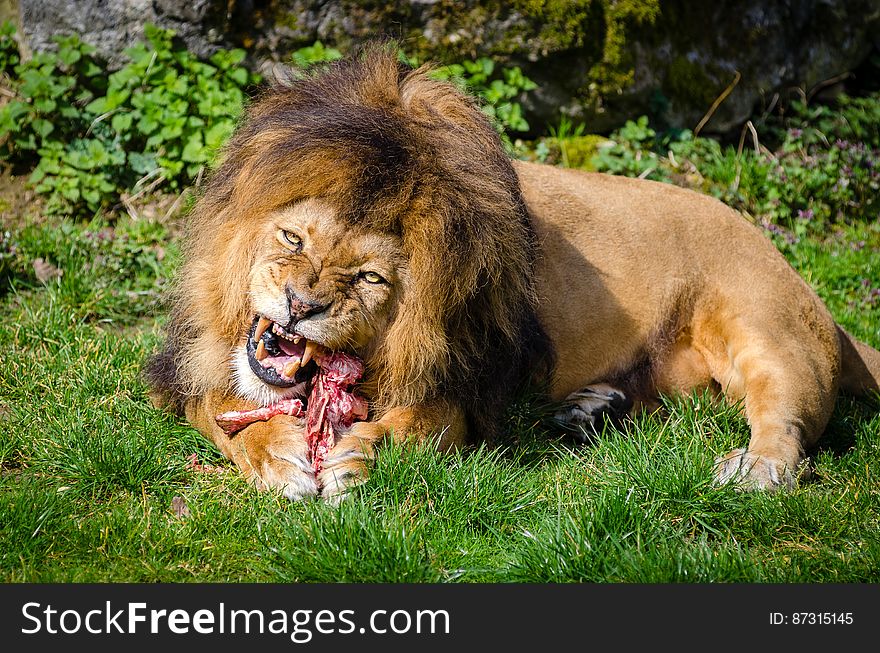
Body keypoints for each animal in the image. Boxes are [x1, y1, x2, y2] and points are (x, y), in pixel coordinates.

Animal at [144, 48, 880, 502]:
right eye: (292, 237)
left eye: (370, 279)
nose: (299, 305)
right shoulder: (187, 367)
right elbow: (223, 414)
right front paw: (278, 456)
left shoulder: (466, 388)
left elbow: (413, 426)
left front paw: (360, 456)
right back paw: (588, 409)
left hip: (768, 331)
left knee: (786, 422)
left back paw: (753, 469)